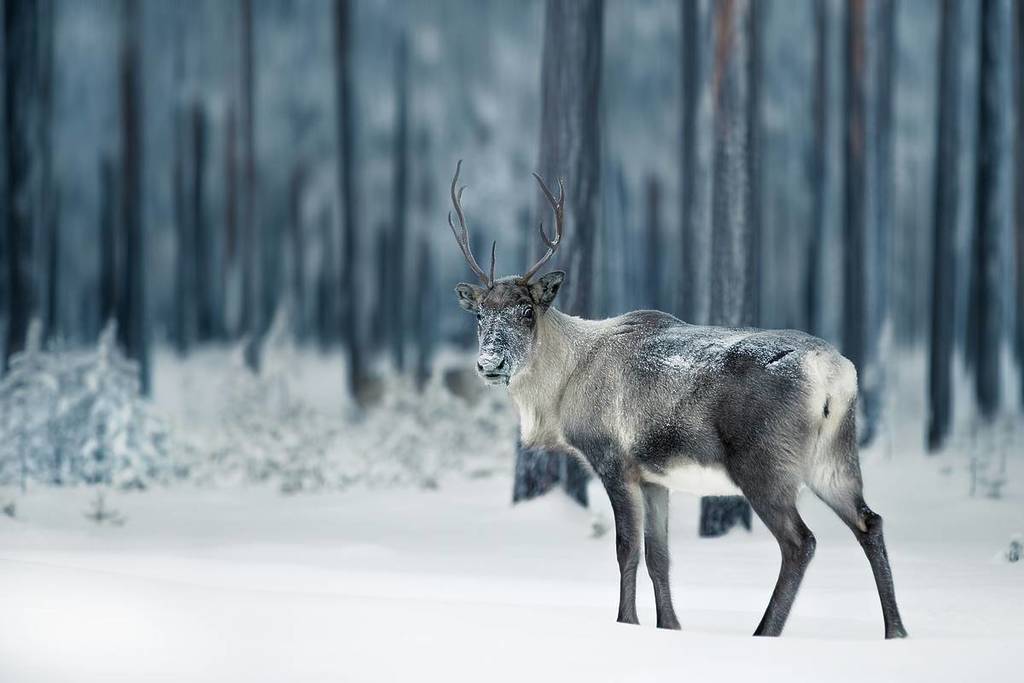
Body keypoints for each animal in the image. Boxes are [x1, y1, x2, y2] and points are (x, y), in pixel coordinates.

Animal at [446, 160, 907, 639]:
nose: (490, 362)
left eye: (526, 311)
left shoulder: (614, 460)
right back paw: (895, 630)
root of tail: (833, 372)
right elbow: (660, 557)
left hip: (765, 463)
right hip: (834, 456)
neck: (562, 389)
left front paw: (627, 621)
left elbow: (626, 550)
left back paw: (765, 631)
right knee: (870, 521)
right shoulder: (655, 477)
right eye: (480, 315)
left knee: (801, 542)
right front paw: (669, 626)